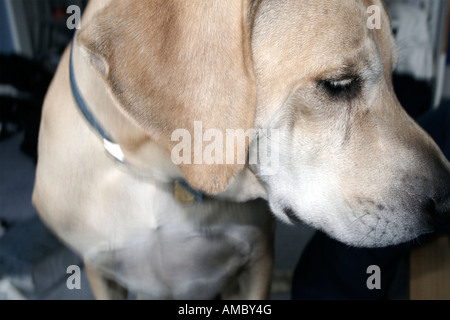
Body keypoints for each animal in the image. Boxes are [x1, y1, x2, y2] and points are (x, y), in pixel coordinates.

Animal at [32, 0, 450, 300]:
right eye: (338, 84)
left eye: (395, 79)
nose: (448, 202)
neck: (161, 178)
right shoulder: (101, 272)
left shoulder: (258, 257)